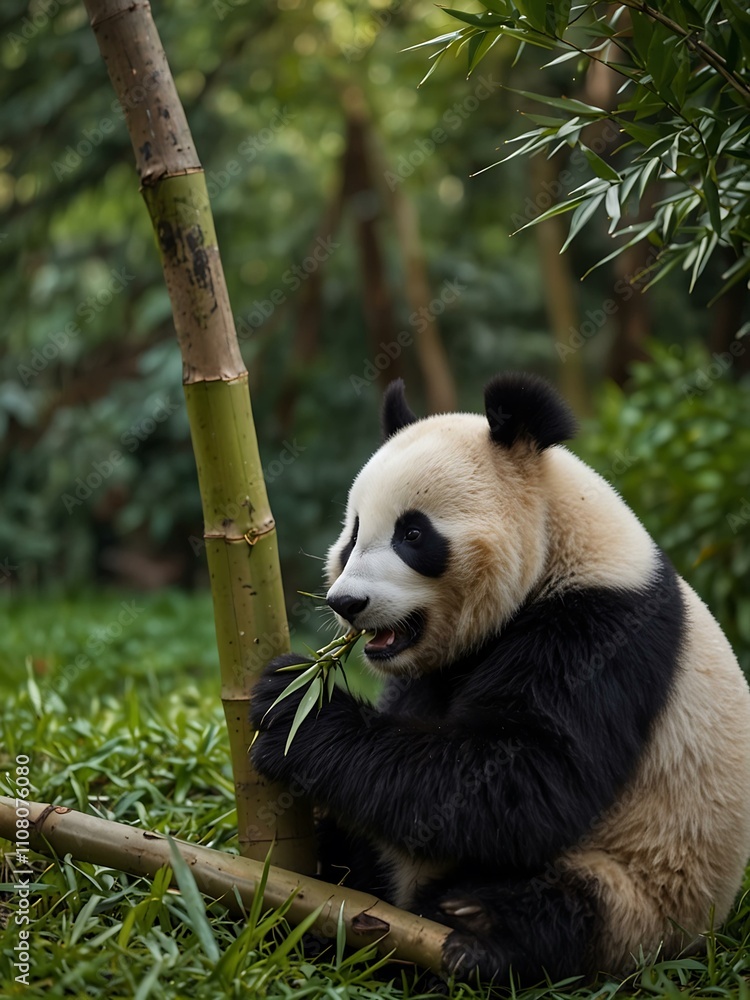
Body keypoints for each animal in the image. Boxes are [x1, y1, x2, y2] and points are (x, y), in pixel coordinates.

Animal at [250, 372, 750, 984]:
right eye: (353, 533)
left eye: (412, 534)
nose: (347, 603)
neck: (559, 538)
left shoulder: (600, 629)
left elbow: (523, 778)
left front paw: (295, 707)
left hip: (650, 895)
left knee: (576, 908)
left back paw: (481, 926)